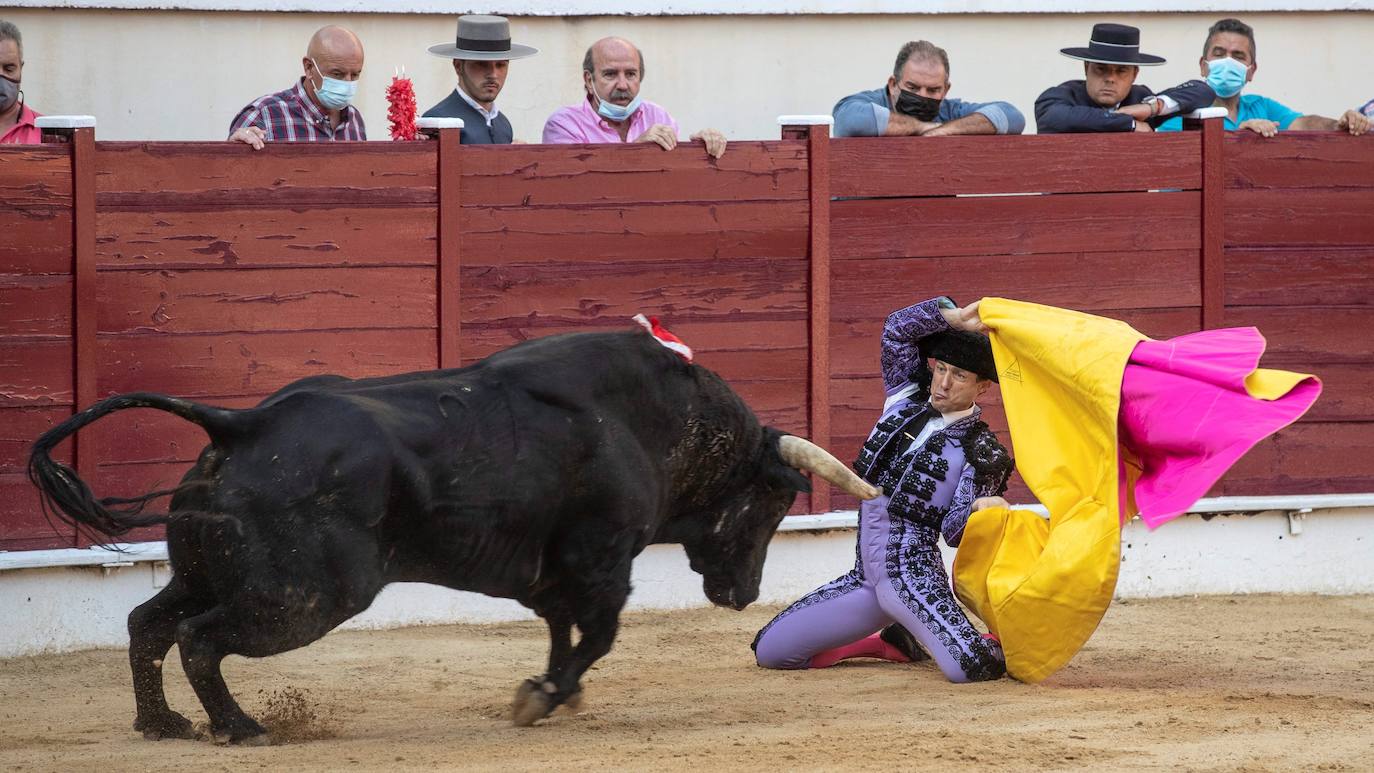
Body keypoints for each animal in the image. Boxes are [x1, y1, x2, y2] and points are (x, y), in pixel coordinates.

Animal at [29, 330, 879, 741]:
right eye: (774, 497)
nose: (745, 592)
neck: (654, 420)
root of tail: (245, 422)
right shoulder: (603, 559)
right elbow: (599, 634)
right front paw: (544, 697)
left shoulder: (550, 571)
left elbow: (563, 629)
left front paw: (548, 689)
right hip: (306, 595)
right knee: (200, 637)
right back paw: (239, 727)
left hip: (206, 568)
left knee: (149, 622)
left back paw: (162, 722)